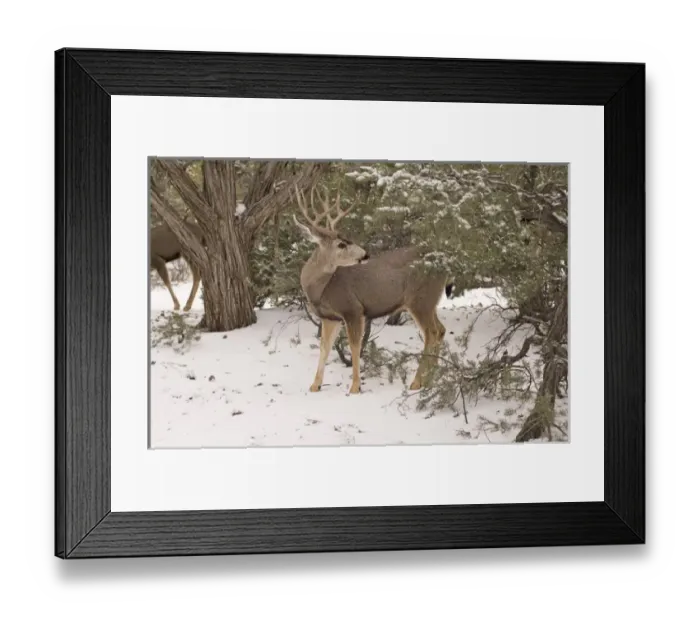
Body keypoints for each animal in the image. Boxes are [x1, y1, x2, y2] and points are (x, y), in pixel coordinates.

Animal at [291, 183, 453, 395]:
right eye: (341, 244)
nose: (365, 254)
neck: (321, 289)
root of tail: (444, 263)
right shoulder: (330, 317)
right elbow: (324, 347)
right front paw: (315, 386)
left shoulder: (353, 309)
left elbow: (354, 346)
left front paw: (354, 387)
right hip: (430, 300)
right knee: (441, 330)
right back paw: (430, 380)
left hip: (420, 299)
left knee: (431, 333)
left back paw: (417, 382)